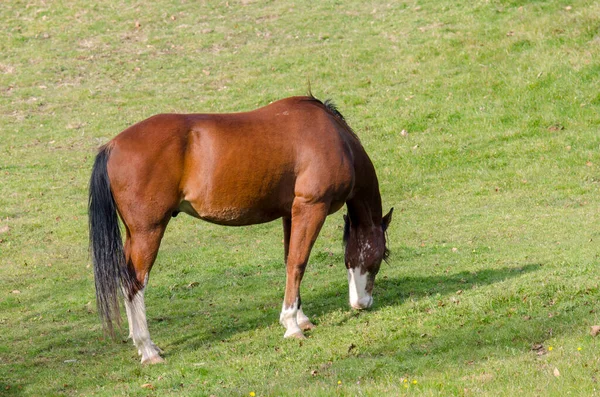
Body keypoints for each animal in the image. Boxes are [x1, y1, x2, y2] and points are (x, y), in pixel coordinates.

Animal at [86, 95, 392, 362]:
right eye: (380, 258)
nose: (362, 304)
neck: (335, 137)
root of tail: (111, 147)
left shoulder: (290, 214)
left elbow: (289, 262)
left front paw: (301, 318)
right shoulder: (310, 208)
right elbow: (298, 263)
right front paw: (291, 325)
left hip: (134, 234)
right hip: (148, 232)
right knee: (135, 284)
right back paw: (148, 350)